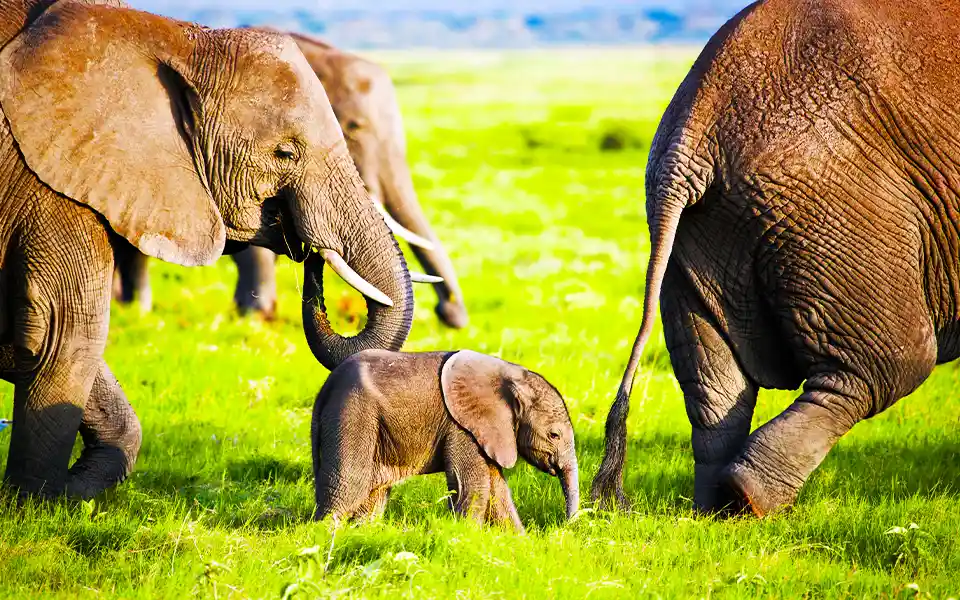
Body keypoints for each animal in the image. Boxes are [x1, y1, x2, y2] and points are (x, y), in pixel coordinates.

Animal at [0, 0, 415, 498]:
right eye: (285, 154)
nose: (310, 252)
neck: (172, 37)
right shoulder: (46, 176)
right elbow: (62, 332)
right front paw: (35, 503)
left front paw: (69, 491)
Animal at [312, 350, 579, 532]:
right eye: (554, 435)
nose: (564, 526)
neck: (510, 374)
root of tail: (326, 388)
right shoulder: (462, 426)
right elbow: (474, 485)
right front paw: (465, 537)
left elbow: (498, 489)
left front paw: (520, 544)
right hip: (352, 413)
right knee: (349, 484)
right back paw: (324, 535)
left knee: (373, 492)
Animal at [591, 0, 960, 516]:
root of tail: (693, 128)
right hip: (834, 204)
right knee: (888, 363)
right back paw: (750, 498)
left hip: (698, 233)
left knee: (715, 385)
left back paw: (716, 509)